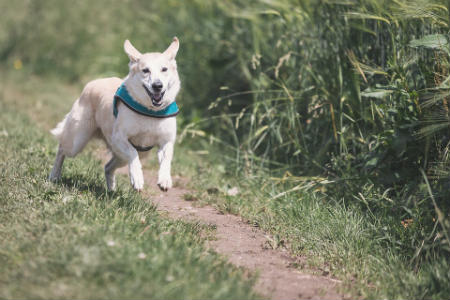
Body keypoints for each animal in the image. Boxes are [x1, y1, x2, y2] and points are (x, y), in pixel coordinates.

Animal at [48, 38, 180, 192]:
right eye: (145, 70)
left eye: (164, 69)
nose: (157, 85)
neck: (150, 111)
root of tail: (93, 82)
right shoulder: (119, 138)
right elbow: (133, 153)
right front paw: (138, 178)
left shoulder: (166, 141)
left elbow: (166, 159)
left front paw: (165, 179)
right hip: (77, 141)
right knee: (62, 148)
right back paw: (54, 176)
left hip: (127, 155)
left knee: (108, 167)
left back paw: (111, 190)